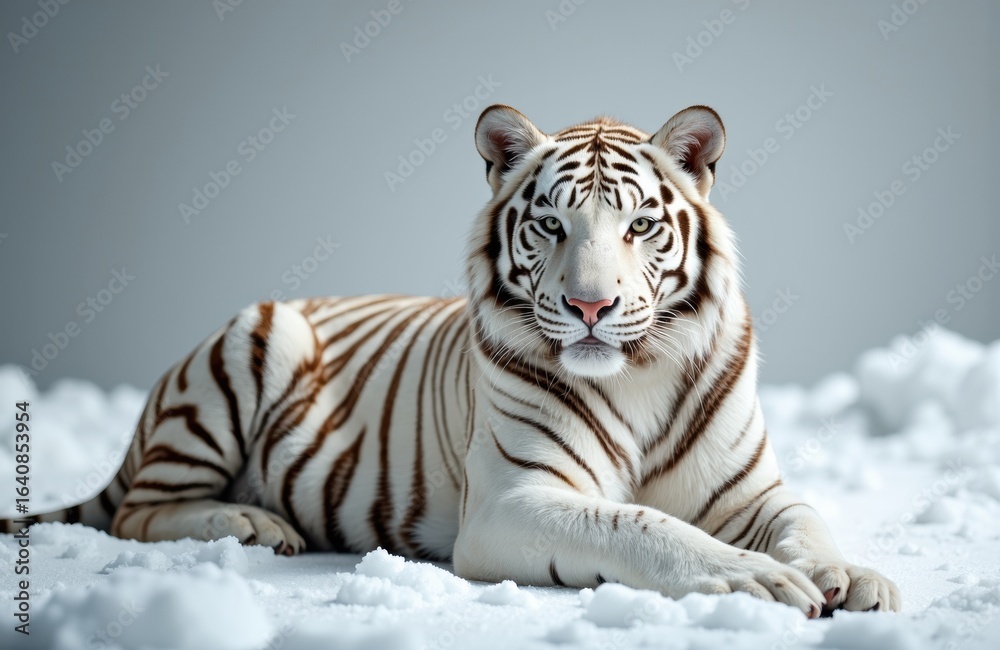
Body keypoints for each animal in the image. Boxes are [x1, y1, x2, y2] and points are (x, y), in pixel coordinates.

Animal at [3, 104, 900, 616]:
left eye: (641, 225)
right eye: (551, 225)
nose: (591, 308)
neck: (638, 373)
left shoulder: (753, 491)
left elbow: (805, 520)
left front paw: (851, 578)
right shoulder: (512, 501)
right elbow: (638, 524)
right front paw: (756, 582)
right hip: (251, 352)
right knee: (137, 511)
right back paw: (251, 523)